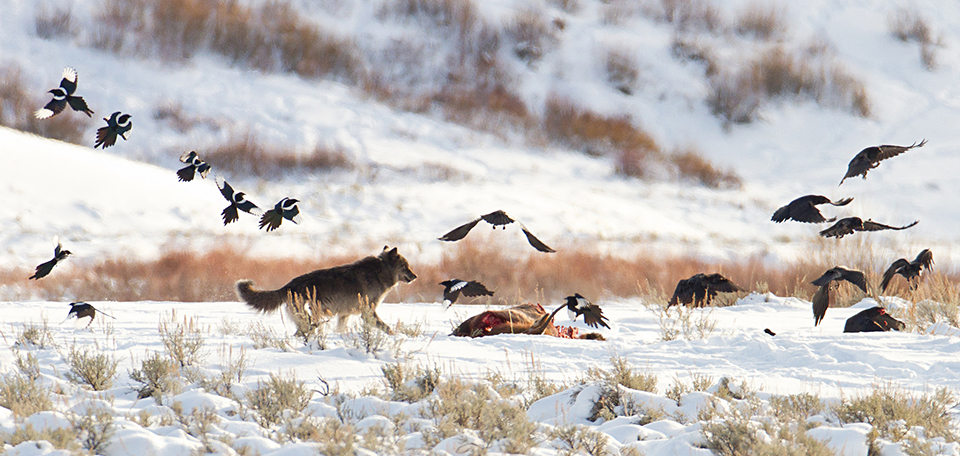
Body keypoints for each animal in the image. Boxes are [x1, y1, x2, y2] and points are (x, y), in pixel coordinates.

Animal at [235, 247, 417, 334]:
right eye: (406, 266)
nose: (415, 276)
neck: (381, 271)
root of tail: (288, 285)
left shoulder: (344, 315)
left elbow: (341, 330)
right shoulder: (367, 313)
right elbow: (388, 329)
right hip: (311, 320)